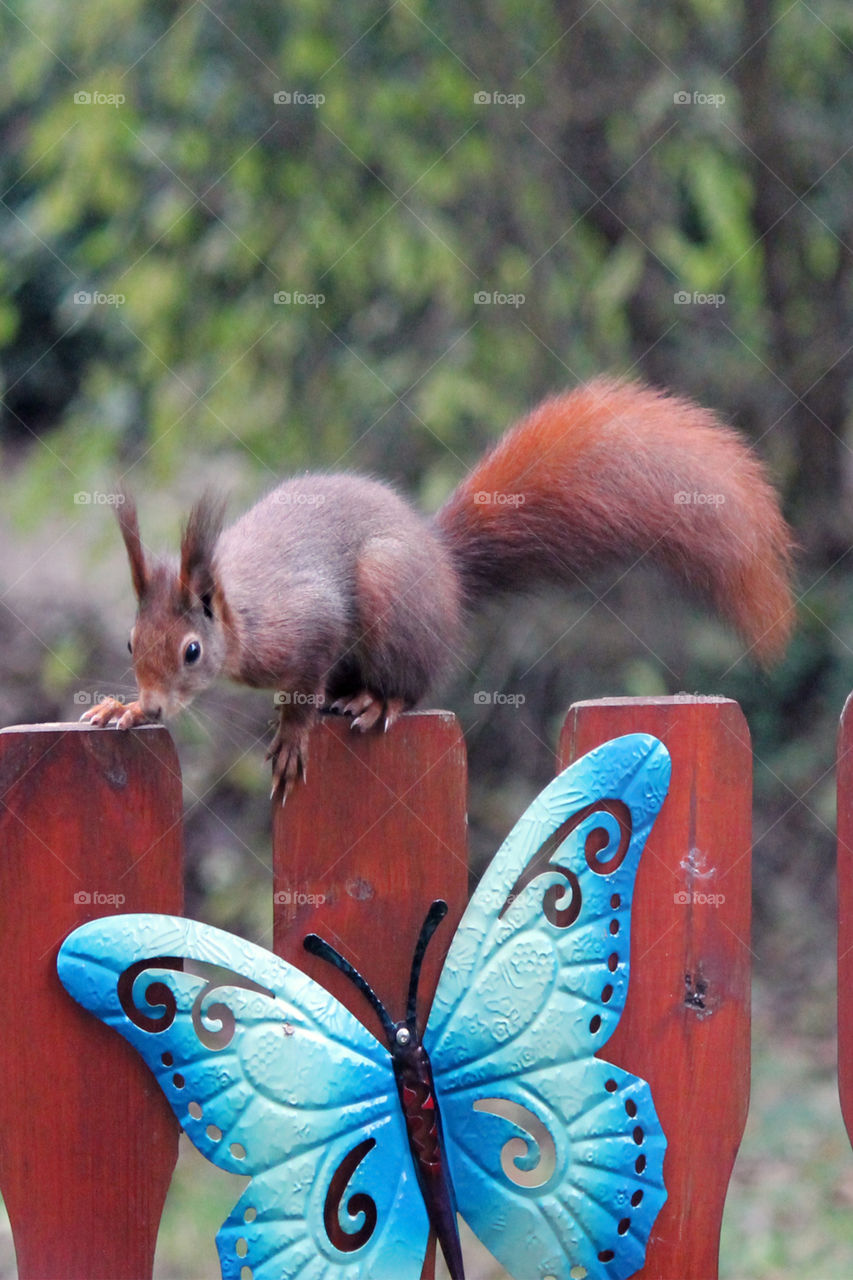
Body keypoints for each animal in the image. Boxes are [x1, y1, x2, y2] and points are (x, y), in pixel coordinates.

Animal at [82, 378, 794, 799]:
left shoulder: (306, 624)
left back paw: (376, 702)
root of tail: (444, 567)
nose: (157, 705)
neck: (242, 614)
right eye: (130, 643)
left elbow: (306, 679)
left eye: (192, 651)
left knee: (410, 685)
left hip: (389, 592)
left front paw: (290, 732)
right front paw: (123, 709)